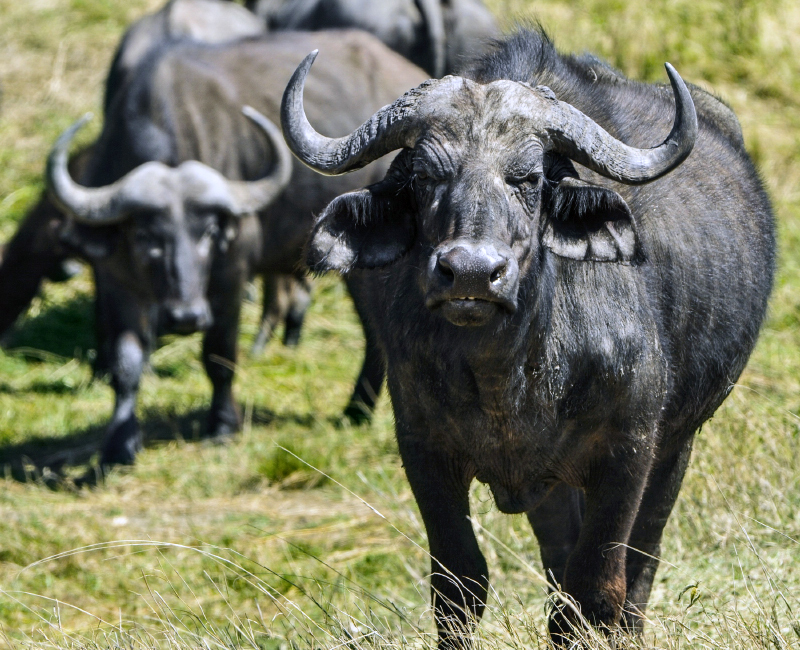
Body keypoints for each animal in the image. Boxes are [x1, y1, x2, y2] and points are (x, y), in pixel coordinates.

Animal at [47, 31, 428, 466]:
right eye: (145, 236)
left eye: (210, 231)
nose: (186, 316)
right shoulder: (115, 280)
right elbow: (125, 363)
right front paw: (119, 443)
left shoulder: (230, 277)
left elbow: (219, 354)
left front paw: (222, 426)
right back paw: (356, 410)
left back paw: (357, 409)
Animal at [282, 29, 776, 644]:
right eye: (424, 177)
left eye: (530, 178)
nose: (471, 273)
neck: (507, 375)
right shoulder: (423, 448)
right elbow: (460, 584)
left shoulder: (628, 451)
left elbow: (600, 585)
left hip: (677, 444)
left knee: (640, 562)